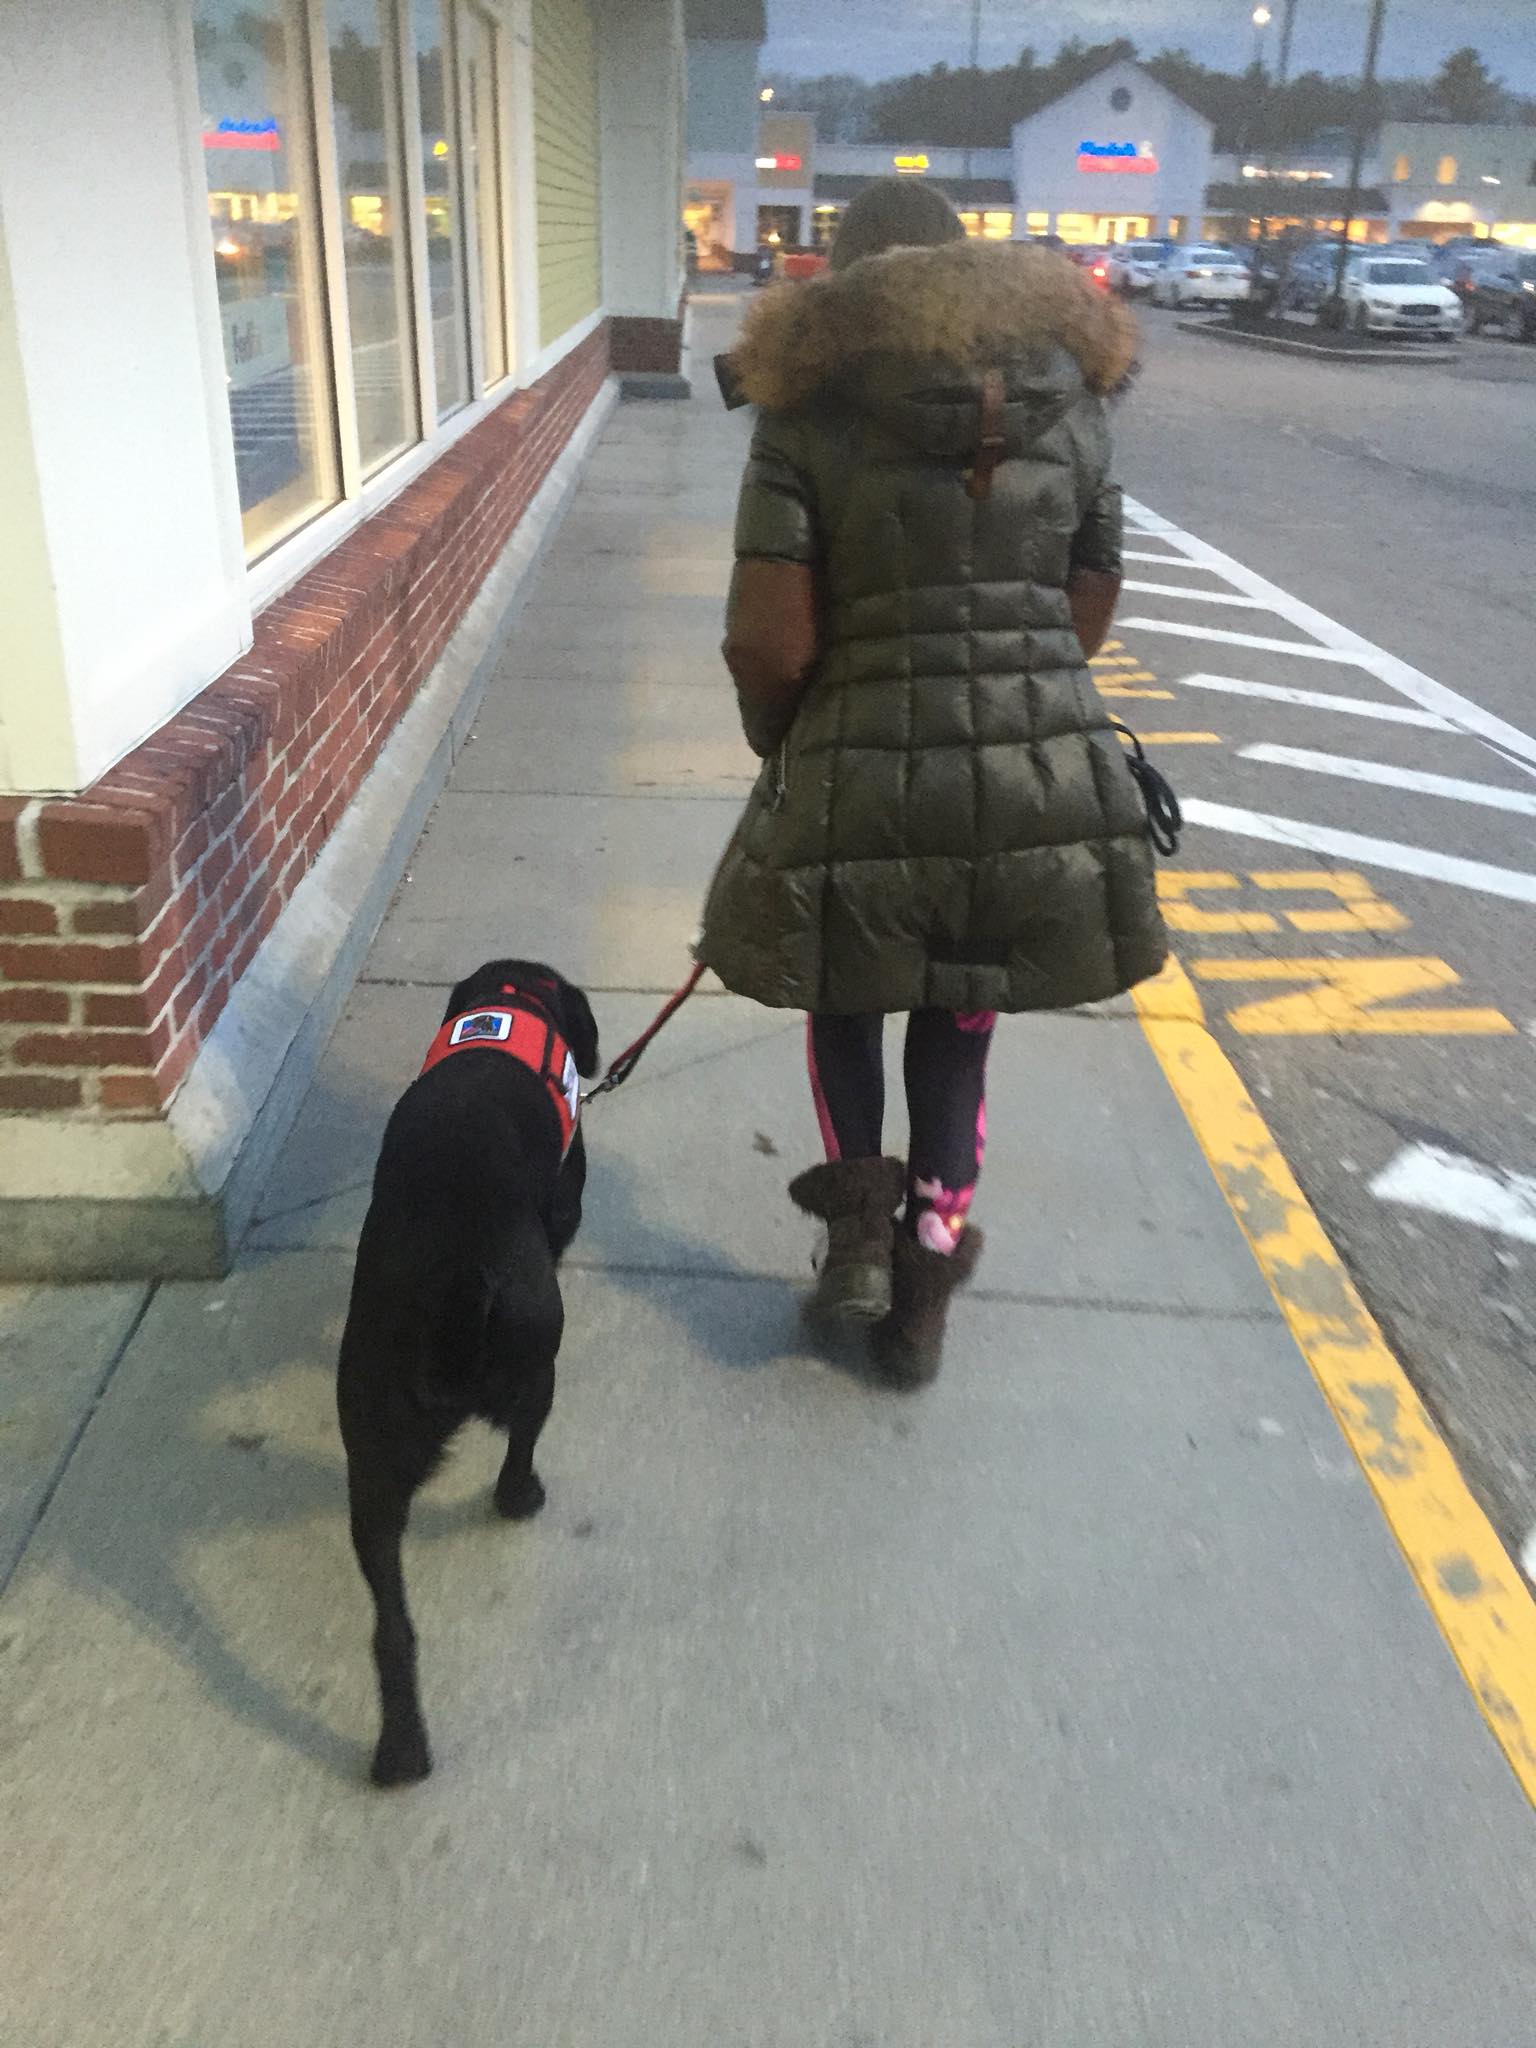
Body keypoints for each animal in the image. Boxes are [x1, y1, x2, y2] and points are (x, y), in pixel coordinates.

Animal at [337, 954, 602, 1777]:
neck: (509, 1003)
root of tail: (457, 1287)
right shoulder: (568, 1187)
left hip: (372, 1461)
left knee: (392, 1630)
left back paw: (401, 1752)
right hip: (540, 1357)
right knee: (521, 1447)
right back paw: (522, 1496)